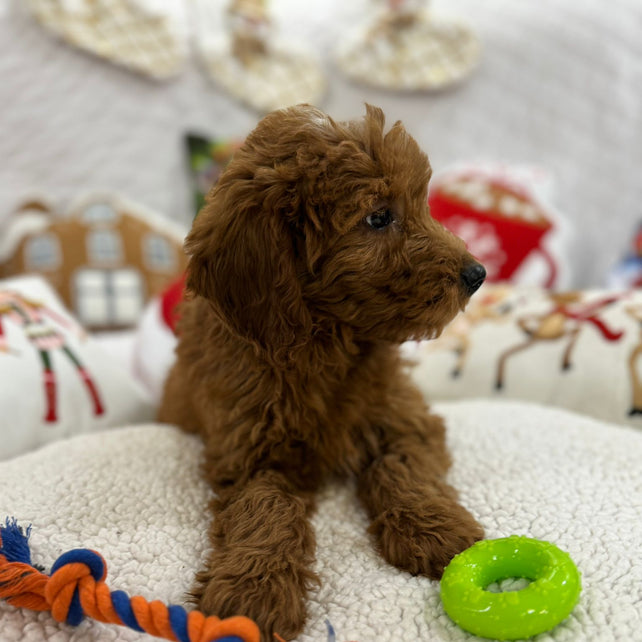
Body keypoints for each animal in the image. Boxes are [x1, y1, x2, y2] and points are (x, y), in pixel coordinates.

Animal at [158, 104, 482, 636]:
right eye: (378, 217)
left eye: (422, 205)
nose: (477, 274)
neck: (325, 344)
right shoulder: (246, 450)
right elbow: (267, 506)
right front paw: (255, 590)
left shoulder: (406, 417)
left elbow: (402, 464)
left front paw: (437, 529)